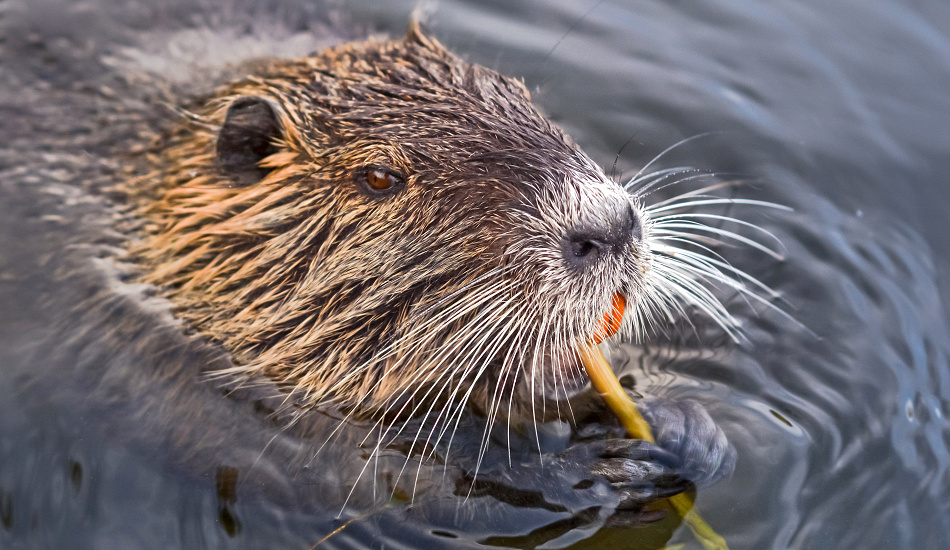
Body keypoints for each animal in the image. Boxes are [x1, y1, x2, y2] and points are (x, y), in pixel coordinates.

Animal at [0, 6, 740, 548]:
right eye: (379, 177)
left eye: (523, 96)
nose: (608, 227)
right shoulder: (120, 347)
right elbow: (336, 478)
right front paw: (585, 469)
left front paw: (681, 424)